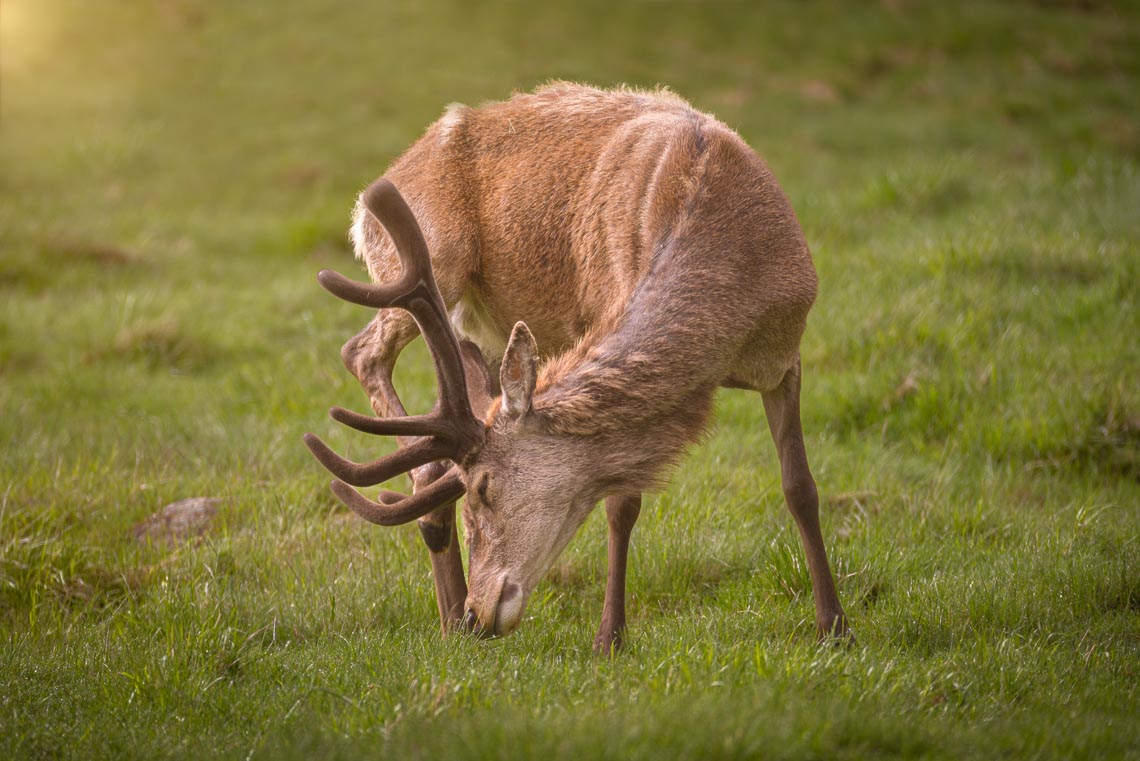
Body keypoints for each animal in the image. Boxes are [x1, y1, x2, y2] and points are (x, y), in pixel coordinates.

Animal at [307, 84, 852, 656]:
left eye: (482, 488)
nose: (479, 612)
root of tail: (363, 209)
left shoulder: (786, 355)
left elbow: (800, 487)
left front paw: (835, 626)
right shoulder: (604, 301)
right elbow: (622, 506)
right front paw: (609, 636)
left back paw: (446, 604)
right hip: (430, 257)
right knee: (361, 350)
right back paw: (439, 556)